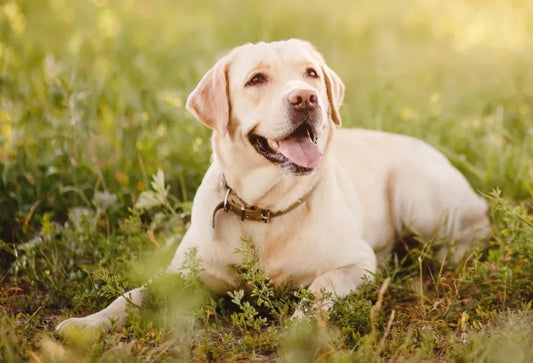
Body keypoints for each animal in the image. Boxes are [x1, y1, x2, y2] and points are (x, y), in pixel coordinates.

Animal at [56, 39, 488, 332]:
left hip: (420, 199)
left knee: (475, 232)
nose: (306, 98)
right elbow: (131, 295)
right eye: (256, 79)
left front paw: (299, 326)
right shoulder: (181, 273)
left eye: (311, 73)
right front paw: (86, 325)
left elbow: (319, 287)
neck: (263, 210)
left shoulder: (357, 262)